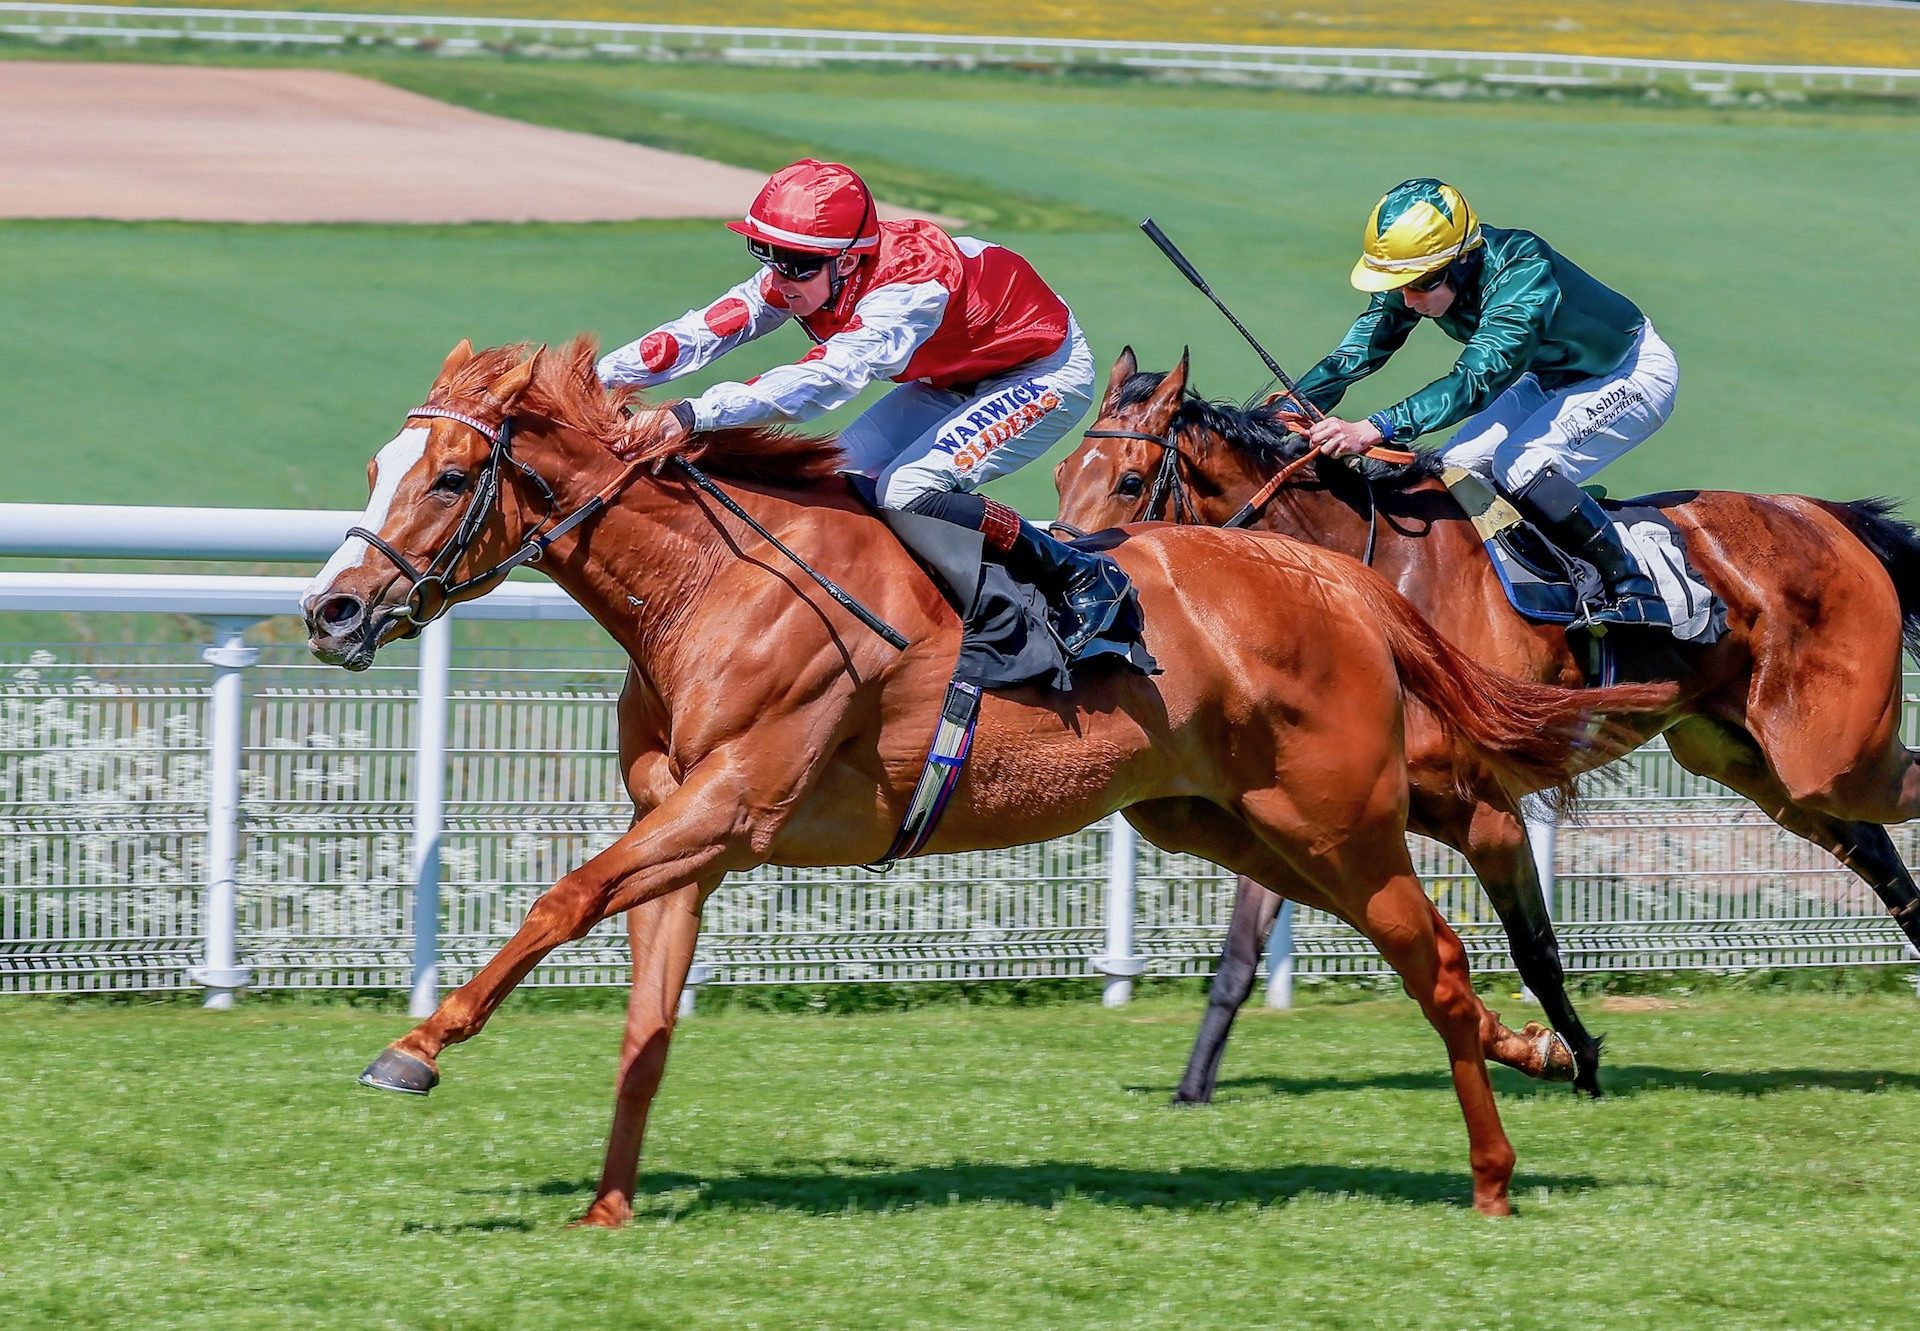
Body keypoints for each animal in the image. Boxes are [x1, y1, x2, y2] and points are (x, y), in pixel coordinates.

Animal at [299, 338, 1681, 1221]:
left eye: (446, 476)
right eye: (373, 468)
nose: (331, 610)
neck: (706, 585)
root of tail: (1331, 572)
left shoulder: (733, 804)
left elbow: (561, 898)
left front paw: (416, 1046)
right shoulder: (685, 831)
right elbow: (646, 1022)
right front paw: (608, 1204)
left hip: (1334, 813)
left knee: (1440, 945)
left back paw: (1497, 1169)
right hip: (1222, 821)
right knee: (1441, 907)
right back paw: (1541, 1046)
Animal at [1052, 341, 1920, 1098]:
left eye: (1129, 481)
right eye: (1062, 469)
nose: (1078, 585)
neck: (1367, 570)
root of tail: (1825, 514)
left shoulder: (1482, 800)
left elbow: (1535, 948)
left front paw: (1581, 1062)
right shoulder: (1309, 805)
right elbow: (1238, 953)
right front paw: (1191, 1090)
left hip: (1829, 749)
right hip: (1754, 759)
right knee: (1872, 847)